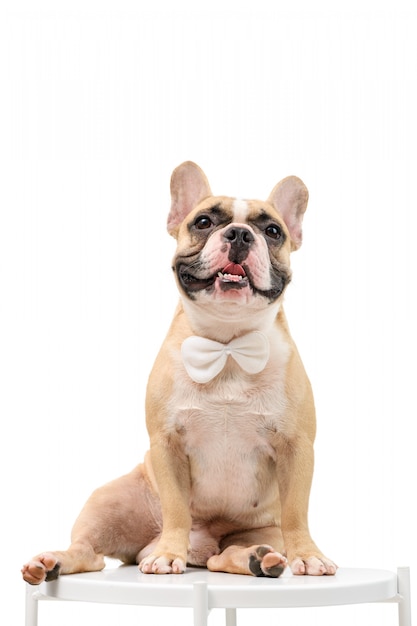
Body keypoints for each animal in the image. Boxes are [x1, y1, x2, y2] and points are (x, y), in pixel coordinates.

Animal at [22, 160, 334, 580]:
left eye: (272, 231)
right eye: (203, 222)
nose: (239, 234)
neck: (226, 347)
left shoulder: (296, 448)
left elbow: (296, 513)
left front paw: (309, 554)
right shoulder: (167, 445)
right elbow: (175, 508)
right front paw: (169, 552)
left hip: (259, 530)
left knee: (227, 556)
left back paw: (259, 559)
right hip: (110, 501)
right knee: (89, 553)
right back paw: (53, 561)